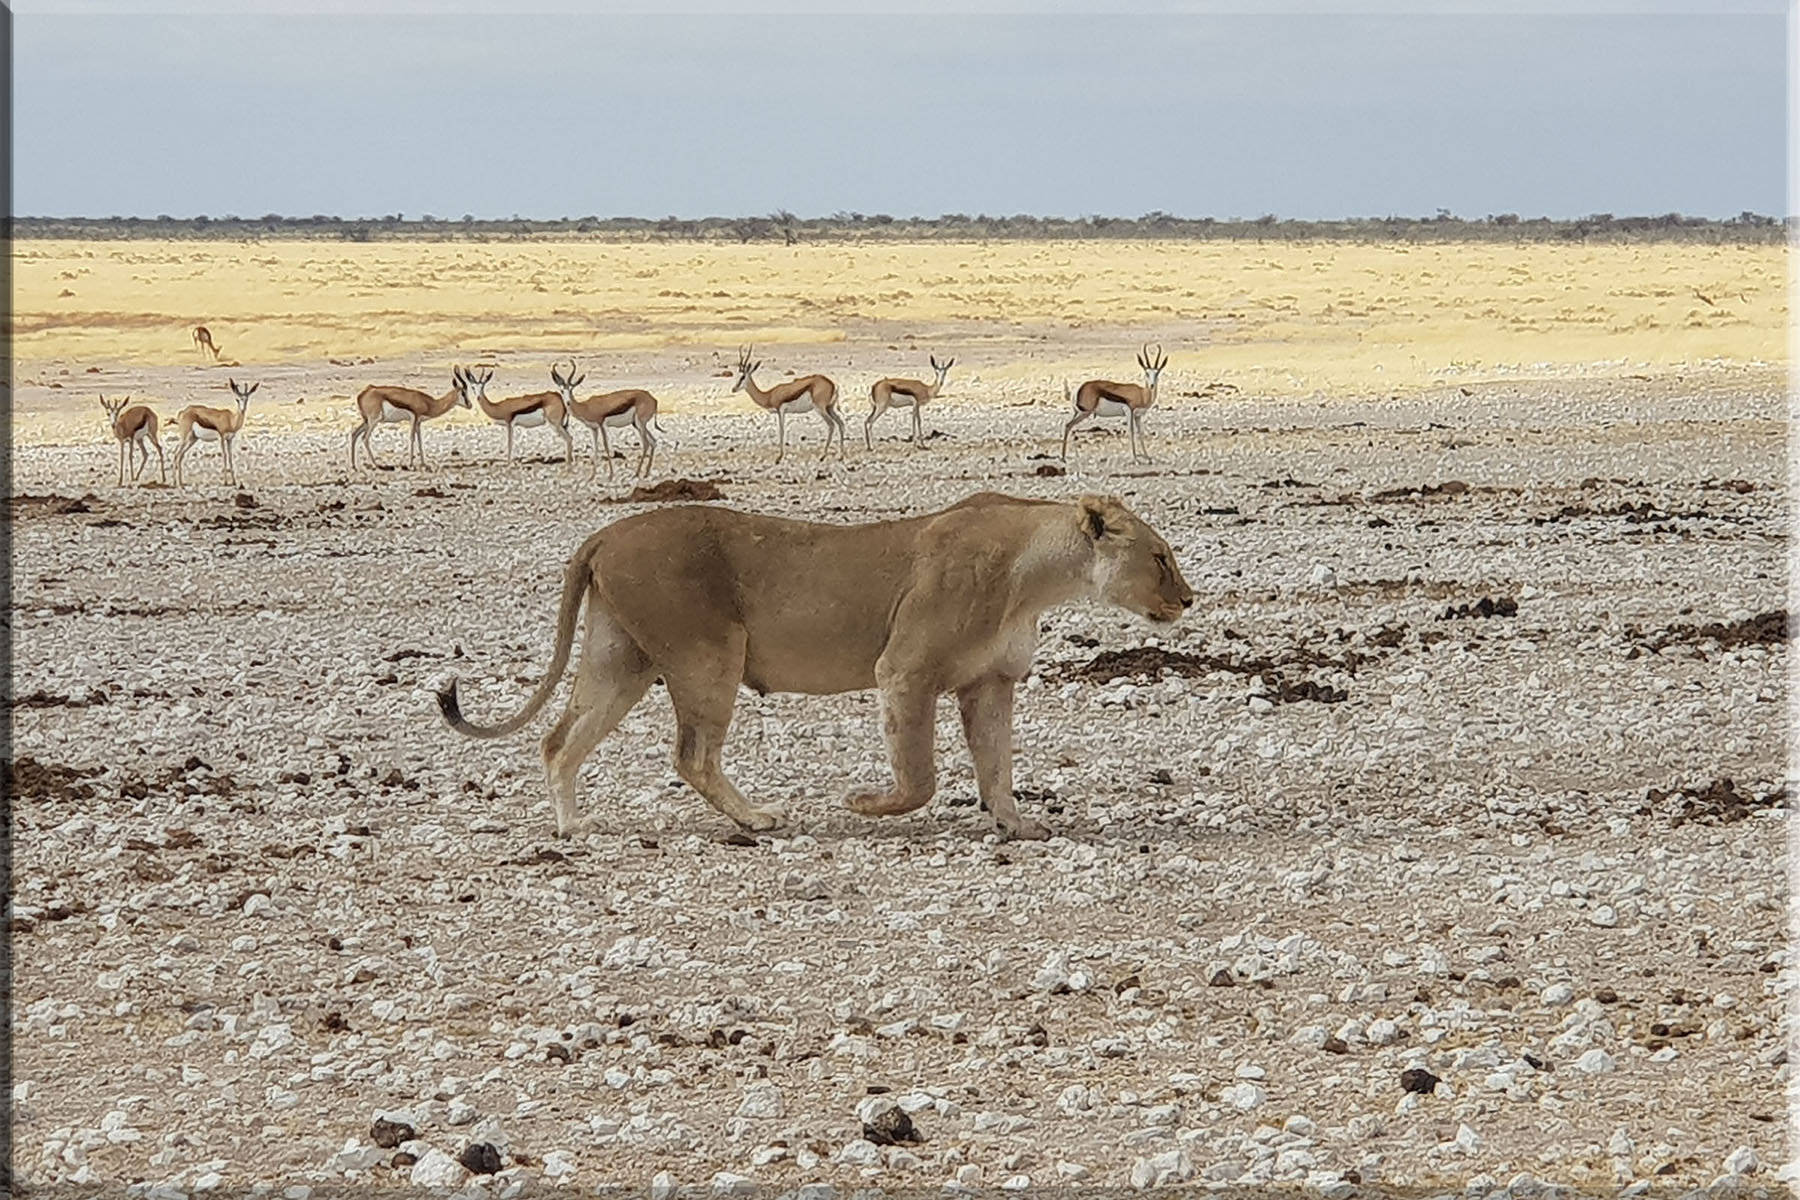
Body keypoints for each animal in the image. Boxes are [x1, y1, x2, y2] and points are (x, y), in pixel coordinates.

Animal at [349, 364, 479, 470]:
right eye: (463, 392)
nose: (470, 405)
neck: (428, 403)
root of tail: (364, 393)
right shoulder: (413, 417)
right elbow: (412, 438)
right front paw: (410, 464)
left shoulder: (418, 422)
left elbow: (420, 440)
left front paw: (423, 464)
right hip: (374, 420)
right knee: (365, 438)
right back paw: (375, 465)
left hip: (367, 421)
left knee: (354, 434)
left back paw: (354, 465)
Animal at [437, 491, 1193, 840]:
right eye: (1159, 556)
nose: (1188, 599)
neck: (1035, 574)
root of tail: (604, 532)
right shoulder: (905, 670)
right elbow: (920, 776)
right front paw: (861, 804)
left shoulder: (990, 682)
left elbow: (997, 765)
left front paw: (1016, 824)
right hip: (707, 653)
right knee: (692, 755)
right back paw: (757, 818)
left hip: (621, 659)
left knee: (560, 739)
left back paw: (572, 827)